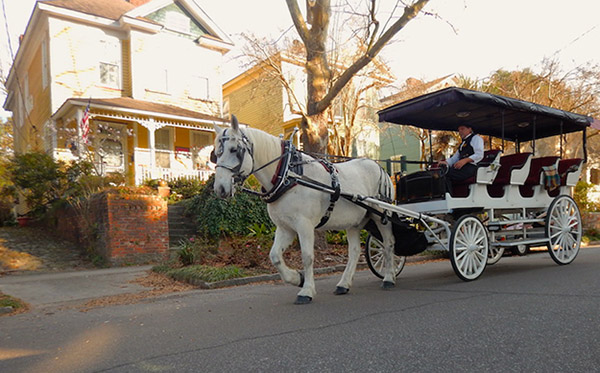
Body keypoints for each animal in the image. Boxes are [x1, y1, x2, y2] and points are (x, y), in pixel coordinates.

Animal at [213, 115, 396, 304]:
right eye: (215, 153)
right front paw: (297, 278)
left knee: (388, 244)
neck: (288, 175)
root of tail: (379, 168)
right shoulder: (285, 227)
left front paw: (306, 290)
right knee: (354, 251)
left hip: (381, 216)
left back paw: (388, 278)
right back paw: (344, 284)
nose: (220, 189)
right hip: (353, 222)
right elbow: (275, 256)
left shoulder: (304, 225)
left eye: (234, 149)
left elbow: (307, 257)